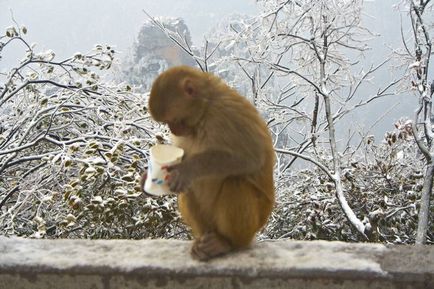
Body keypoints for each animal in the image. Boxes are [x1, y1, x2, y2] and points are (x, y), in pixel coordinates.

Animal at [142, 66, 274, 260]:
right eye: (167, 123)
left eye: (174, 120)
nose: (173, 130)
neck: (206, 110)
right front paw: (145, 179)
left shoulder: (228, 112)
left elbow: (252, 158)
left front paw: (188, 169)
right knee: (187, 189)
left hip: (255, 223)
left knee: (235, 182)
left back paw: (227, 243)